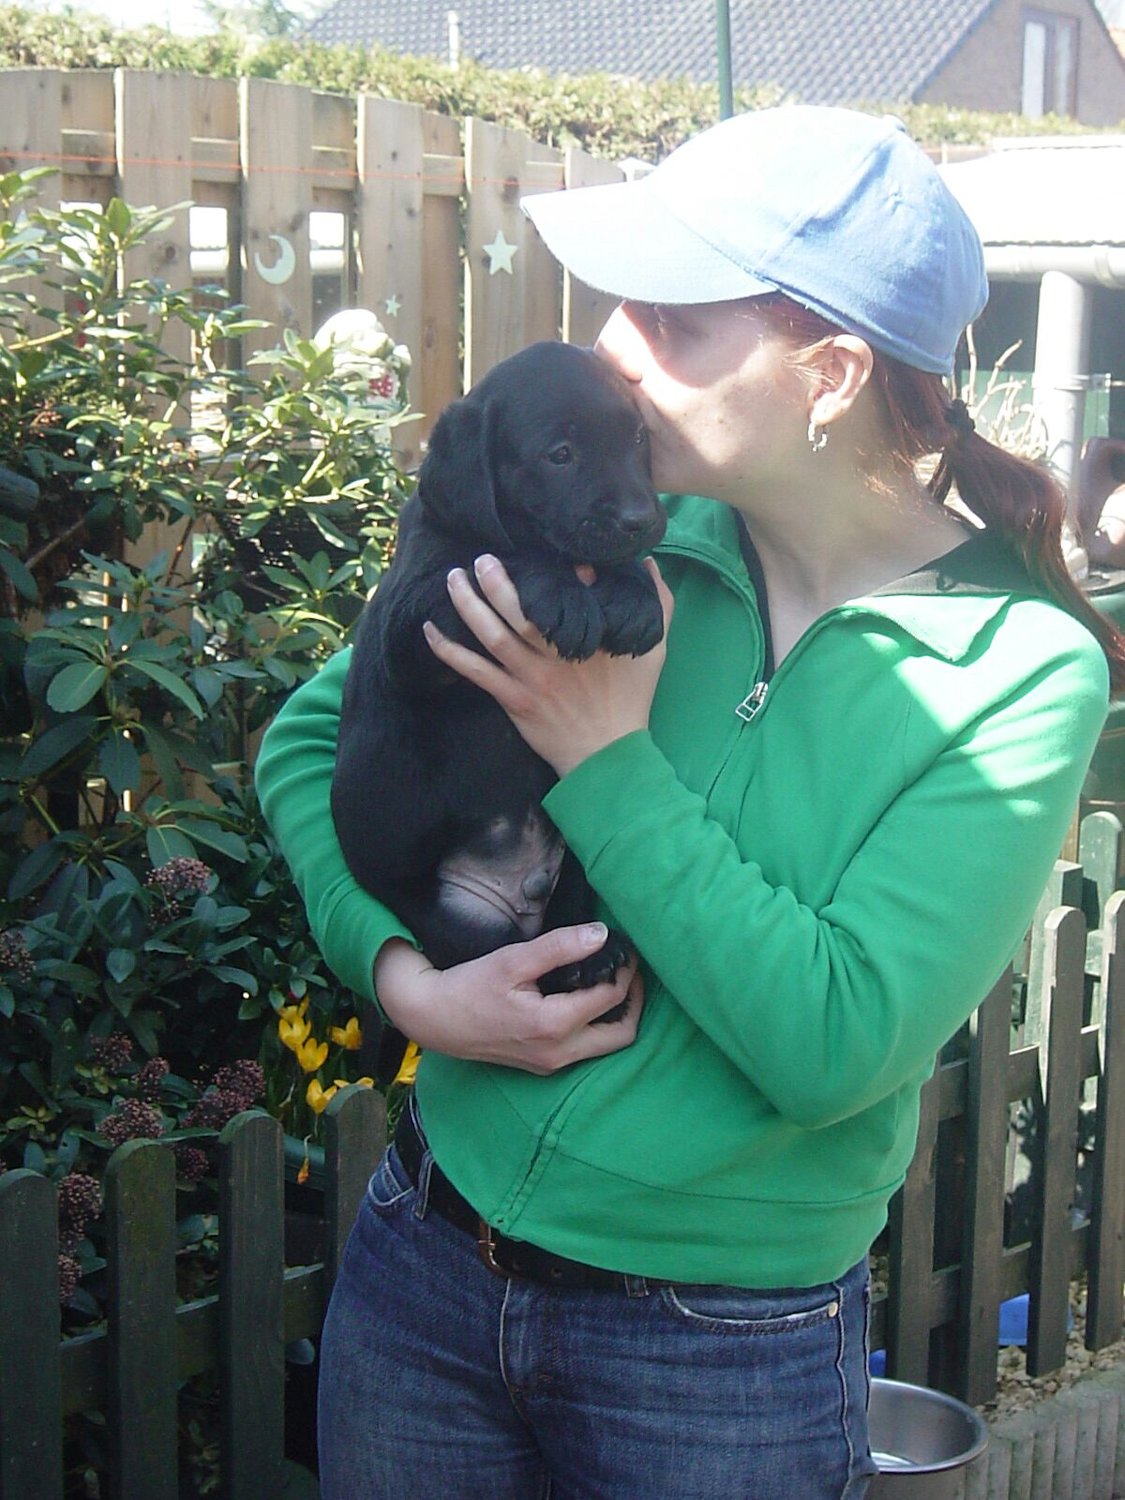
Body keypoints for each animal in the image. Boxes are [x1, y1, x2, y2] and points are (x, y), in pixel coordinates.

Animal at [331, 341, 667, 1081]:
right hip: (458, 922)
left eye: (637, 439)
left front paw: (632, 594)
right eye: (560, 454)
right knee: (507, 962)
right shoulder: (419, 624)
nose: (642, 518)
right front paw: (563, 594)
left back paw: (591, 958)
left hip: (575, 867)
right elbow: (505, 557)